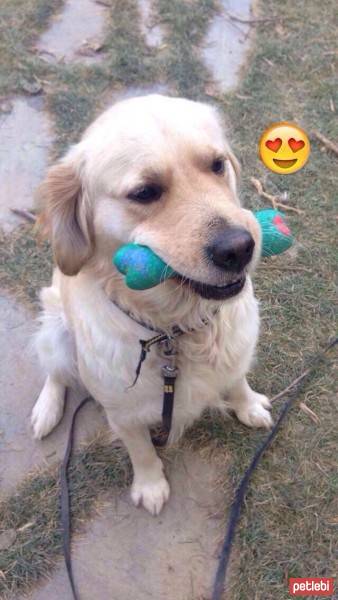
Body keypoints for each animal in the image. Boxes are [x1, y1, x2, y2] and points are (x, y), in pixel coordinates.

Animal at [31, 95, 272, 516]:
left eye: (217, 164)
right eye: (145, 192)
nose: (239, 248)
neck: (176, 330)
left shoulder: (235, 350)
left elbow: (237, 379)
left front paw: (249, 405)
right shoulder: (123, 412)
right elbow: (141, 449)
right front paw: (150, 485)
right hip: (55, 331)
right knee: (56, 373)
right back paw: (47, 409)